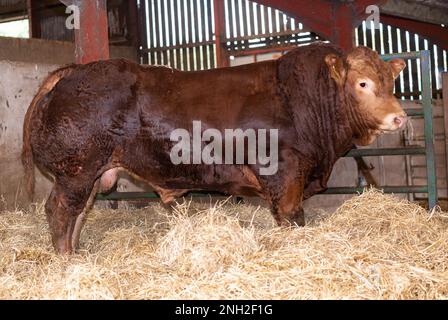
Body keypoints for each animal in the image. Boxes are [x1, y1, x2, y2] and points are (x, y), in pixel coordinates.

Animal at [21, 42, 406, 254]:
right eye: (363, 83)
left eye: (391, 81)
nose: (400, 117)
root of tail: (74, 71)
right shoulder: (285, 174)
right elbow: (291, 217)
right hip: (76, 171)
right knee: (59, 211)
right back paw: (64, 259)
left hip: (90, 173)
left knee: (78, 213)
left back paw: (76, 253)